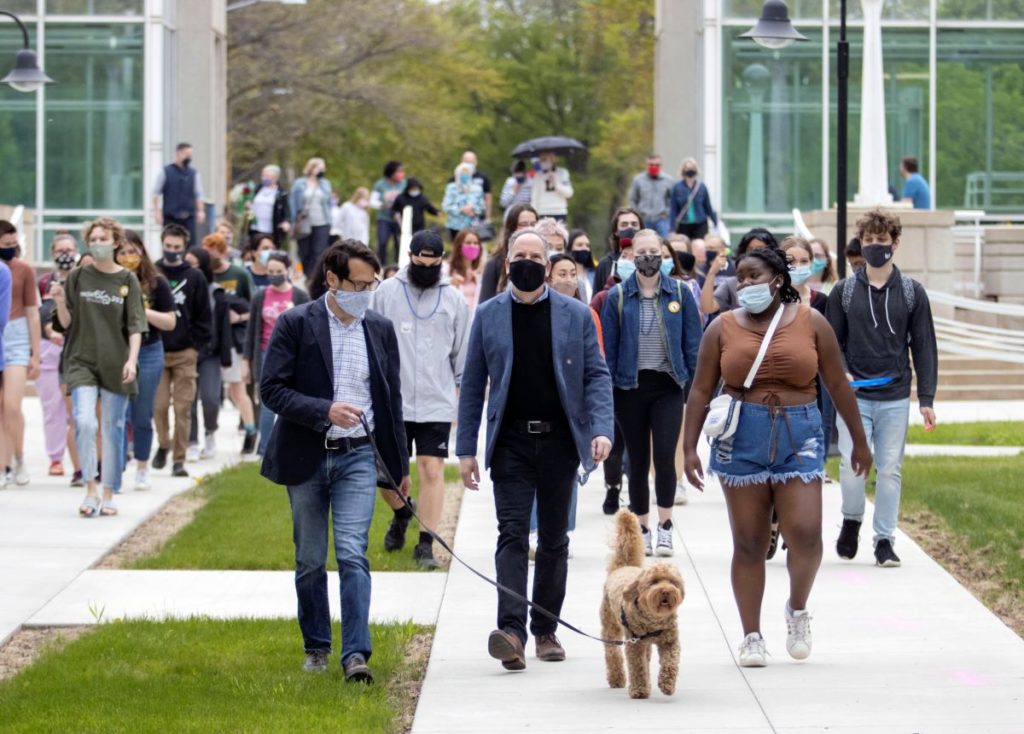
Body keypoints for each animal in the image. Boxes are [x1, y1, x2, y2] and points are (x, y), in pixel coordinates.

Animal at [602, 509, 684, 700]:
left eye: (672, 582)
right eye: (653, 582)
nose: (665, 591)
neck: (654, 619)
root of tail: (623, 566)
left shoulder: (670, 641)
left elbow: (670, 662)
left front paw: (667, 684)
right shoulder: (635, 644)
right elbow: (637, 667)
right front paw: (639, 690)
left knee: (646, 657)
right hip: (611, 627)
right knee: (612, 653)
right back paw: (617, 678)